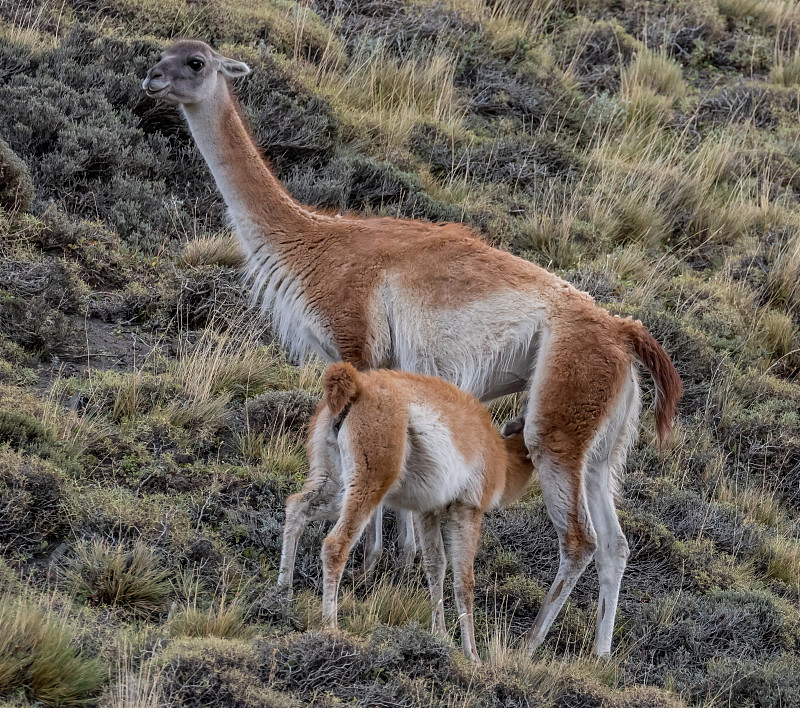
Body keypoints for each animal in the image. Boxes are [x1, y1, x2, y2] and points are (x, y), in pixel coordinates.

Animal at [278, 362, 536, 660]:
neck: (505, 462)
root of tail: (356, 385)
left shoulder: (428, 510)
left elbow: (436, 566)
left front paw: (440, 636)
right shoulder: (468, 509)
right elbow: (464, 581)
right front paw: (472, 655)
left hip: (332, 478)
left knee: (296, 507)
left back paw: (282, 596)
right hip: (371, 475)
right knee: (335, 544)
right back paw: (330, 628)